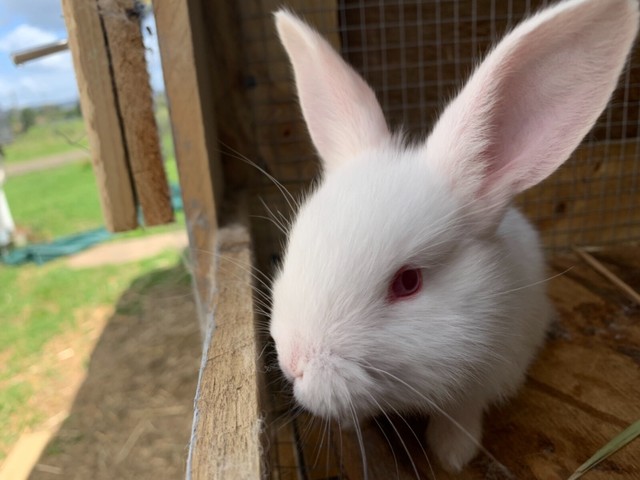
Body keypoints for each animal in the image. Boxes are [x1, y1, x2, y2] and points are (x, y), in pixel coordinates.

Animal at [269, 0, 639, 473]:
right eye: (294, 248)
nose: (293, 362)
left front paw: (452, 456)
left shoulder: (479, 383)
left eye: (408, 282)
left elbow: (461, 416)